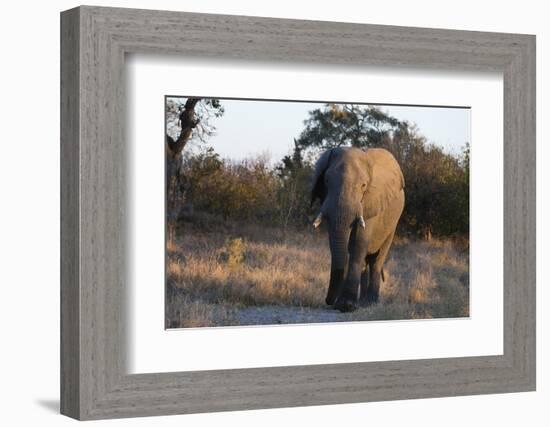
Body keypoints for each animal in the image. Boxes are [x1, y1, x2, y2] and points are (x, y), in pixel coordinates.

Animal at [312, 146, 408, 310]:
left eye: (363, 185)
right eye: (326, 180)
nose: (328, 301)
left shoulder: (371, 202)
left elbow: (358, 243)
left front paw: (346, 306)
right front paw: (343, 304)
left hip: (393, 224)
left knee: (377, 259)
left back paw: (370, 302)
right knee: (366, 261)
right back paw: (362, 302)